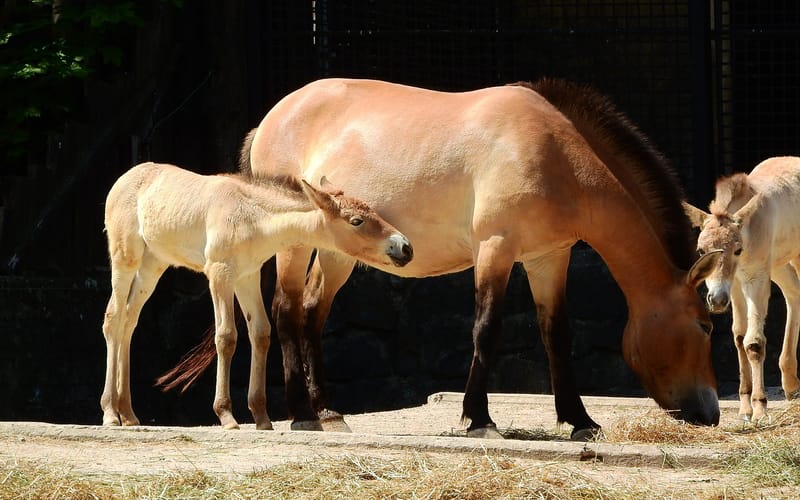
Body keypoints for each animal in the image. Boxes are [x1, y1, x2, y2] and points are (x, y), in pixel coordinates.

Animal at [101, 161, 412, 430]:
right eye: (356, 221)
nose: (404, 247)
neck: (251, 217)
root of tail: (124, 178)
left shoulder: (247, 277)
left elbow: (261, 334)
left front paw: (262, 417)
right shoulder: (220, 274)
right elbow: (226, 337)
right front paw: (226, 415)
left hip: (153, 265)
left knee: (129, 321)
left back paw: (128, 413)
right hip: (125, 258)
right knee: (113, 319)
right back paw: (110, 413)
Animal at [159, 78, 722, 440]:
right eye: (704, 325)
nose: (712, 412)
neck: (553, 153)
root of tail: (274, 116)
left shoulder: (548, 258)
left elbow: (556, 336)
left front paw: (580, 421)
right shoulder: (496, 249)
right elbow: (486, 330)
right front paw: (479, 419)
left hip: (340, 253)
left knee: (312, 312)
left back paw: (327, 411)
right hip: (297, 244)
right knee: (286, 310)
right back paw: (301, 413)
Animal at [683, 156, 800, 423]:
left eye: (737, 249)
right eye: (701, 250)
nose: (716, 300)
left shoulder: (755, 279)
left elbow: (754, 342)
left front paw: (760, 408)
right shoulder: (735, 284)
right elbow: (738, 337)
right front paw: (745, 408)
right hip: (778, 265)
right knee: (794, 294)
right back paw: (791, 385)